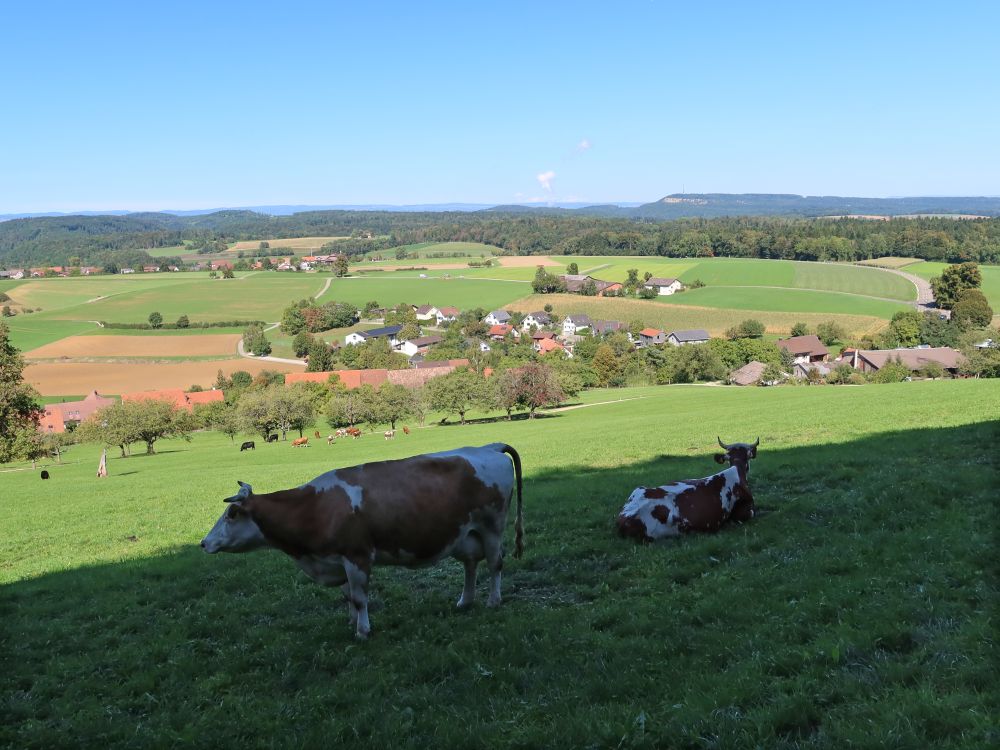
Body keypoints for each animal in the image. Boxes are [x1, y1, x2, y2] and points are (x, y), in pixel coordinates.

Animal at [201, 444, 524, 644]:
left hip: (492, 526)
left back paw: (493, 601)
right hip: (465, 534)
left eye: (231, 514)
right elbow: (347, 597)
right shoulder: (337, 560)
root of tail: (487, 447)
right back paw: (465, 601)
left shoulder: (357, 556)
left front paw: (362, 631)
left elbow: (358, 598)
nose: (204, 543)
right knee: (471, 565)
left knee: (495, 563)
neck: (314, 508)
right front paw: (351, 622)